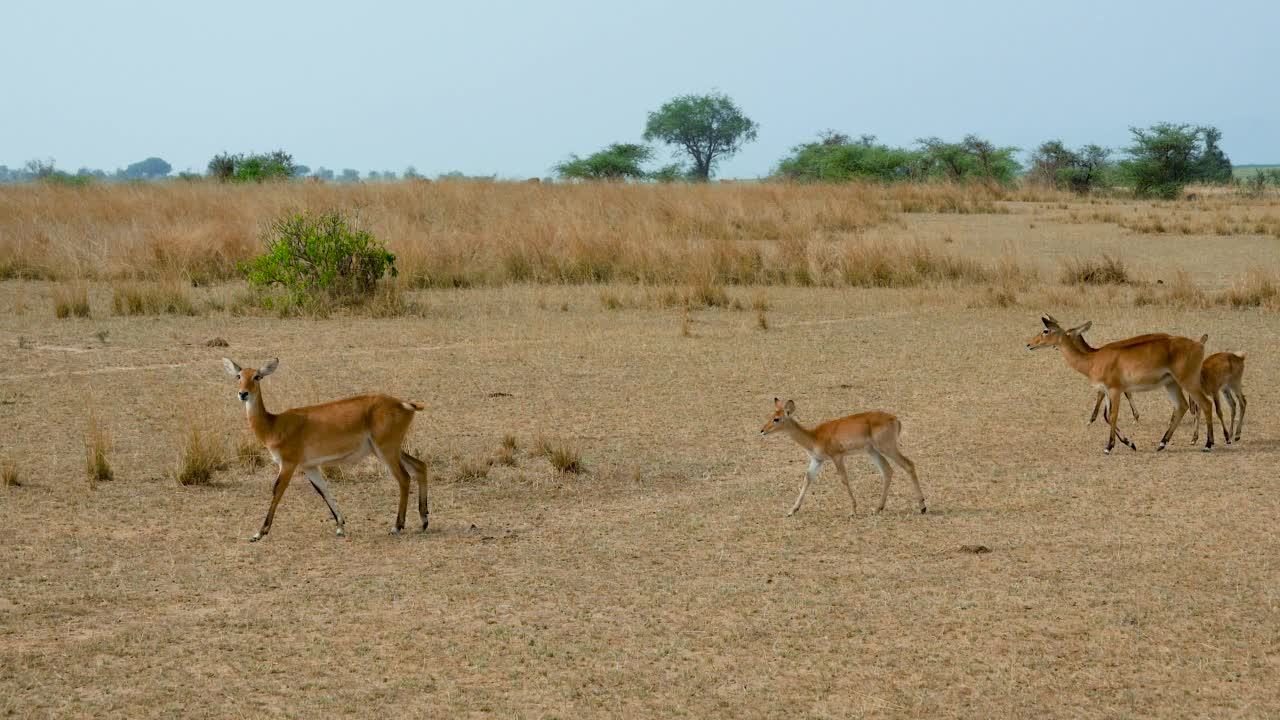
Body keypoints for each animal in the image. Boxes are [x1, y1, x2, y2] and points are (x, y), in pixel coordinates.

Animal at [225, 356, 430, 540]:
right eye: (238, 376)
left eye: (257, 376)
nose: (243, 394)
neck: (274, 425)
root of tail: (404, 404)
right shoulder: (309, 466)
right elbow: (322, 489)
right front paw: (340, 526)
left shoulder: (288, 464)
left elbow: (277, 490)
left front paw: (259, 533)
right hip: (388, 449)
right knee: (420, 466)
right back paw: (424, 521)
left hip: (386, 450)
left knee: (404, 477)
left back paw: (397, 527)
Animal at [752, 397, 926, 515]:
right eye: (771, 415)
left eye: (777, 418)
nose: (762, 430)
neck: (814, 436)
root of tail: (895, 419)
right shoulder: (817, 460)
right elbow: (807, 478)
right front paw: (792, 510)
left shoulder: (837, 457)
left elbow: (844, 479)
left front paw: (853, 510)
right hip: (873, 452)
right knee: (887, 471)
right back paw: (877, 508)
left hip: (887, 448)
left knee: (908, 464)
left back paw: (922, 507)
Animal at [1024, 315, 1213, 450]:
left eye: (1045, 330)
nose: (1029, 344)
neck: (1092, 359)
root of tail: (1199, 343)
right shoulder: (1107, 391)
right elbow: (1107, 416)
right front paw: (1130, 443)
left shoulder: (1115, 390)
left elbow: (1113, 415)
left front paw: (1109, 446)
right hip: (1171, 383)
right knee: (1182, 406)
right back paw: (1162, 443)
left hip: (1188, 381)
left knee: (1205, 404)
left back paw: (1208, 444)